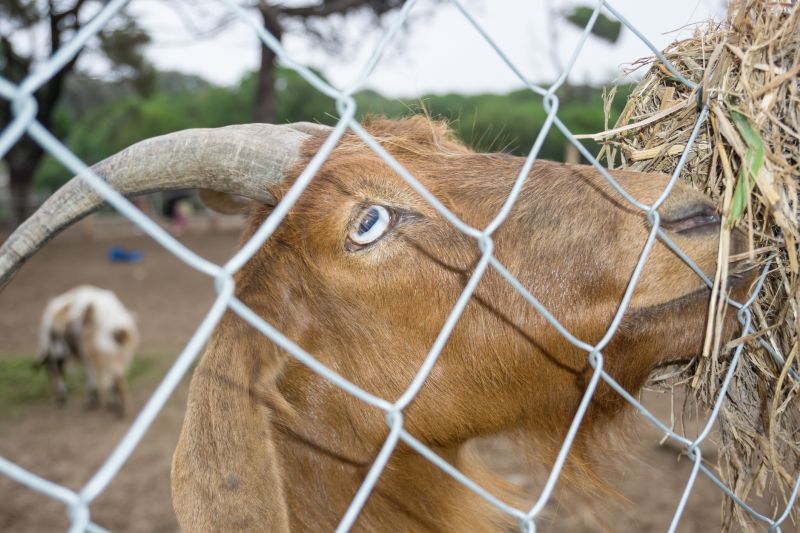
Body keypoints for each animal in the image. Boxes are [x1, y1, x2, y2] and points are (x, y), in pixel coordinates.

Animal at [35, 285, 139, 416]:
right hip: (115, 355)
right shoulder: (86, 355)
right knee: (116, 377)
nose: (58, 400)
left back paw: (120, 408)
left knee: (113, 378)